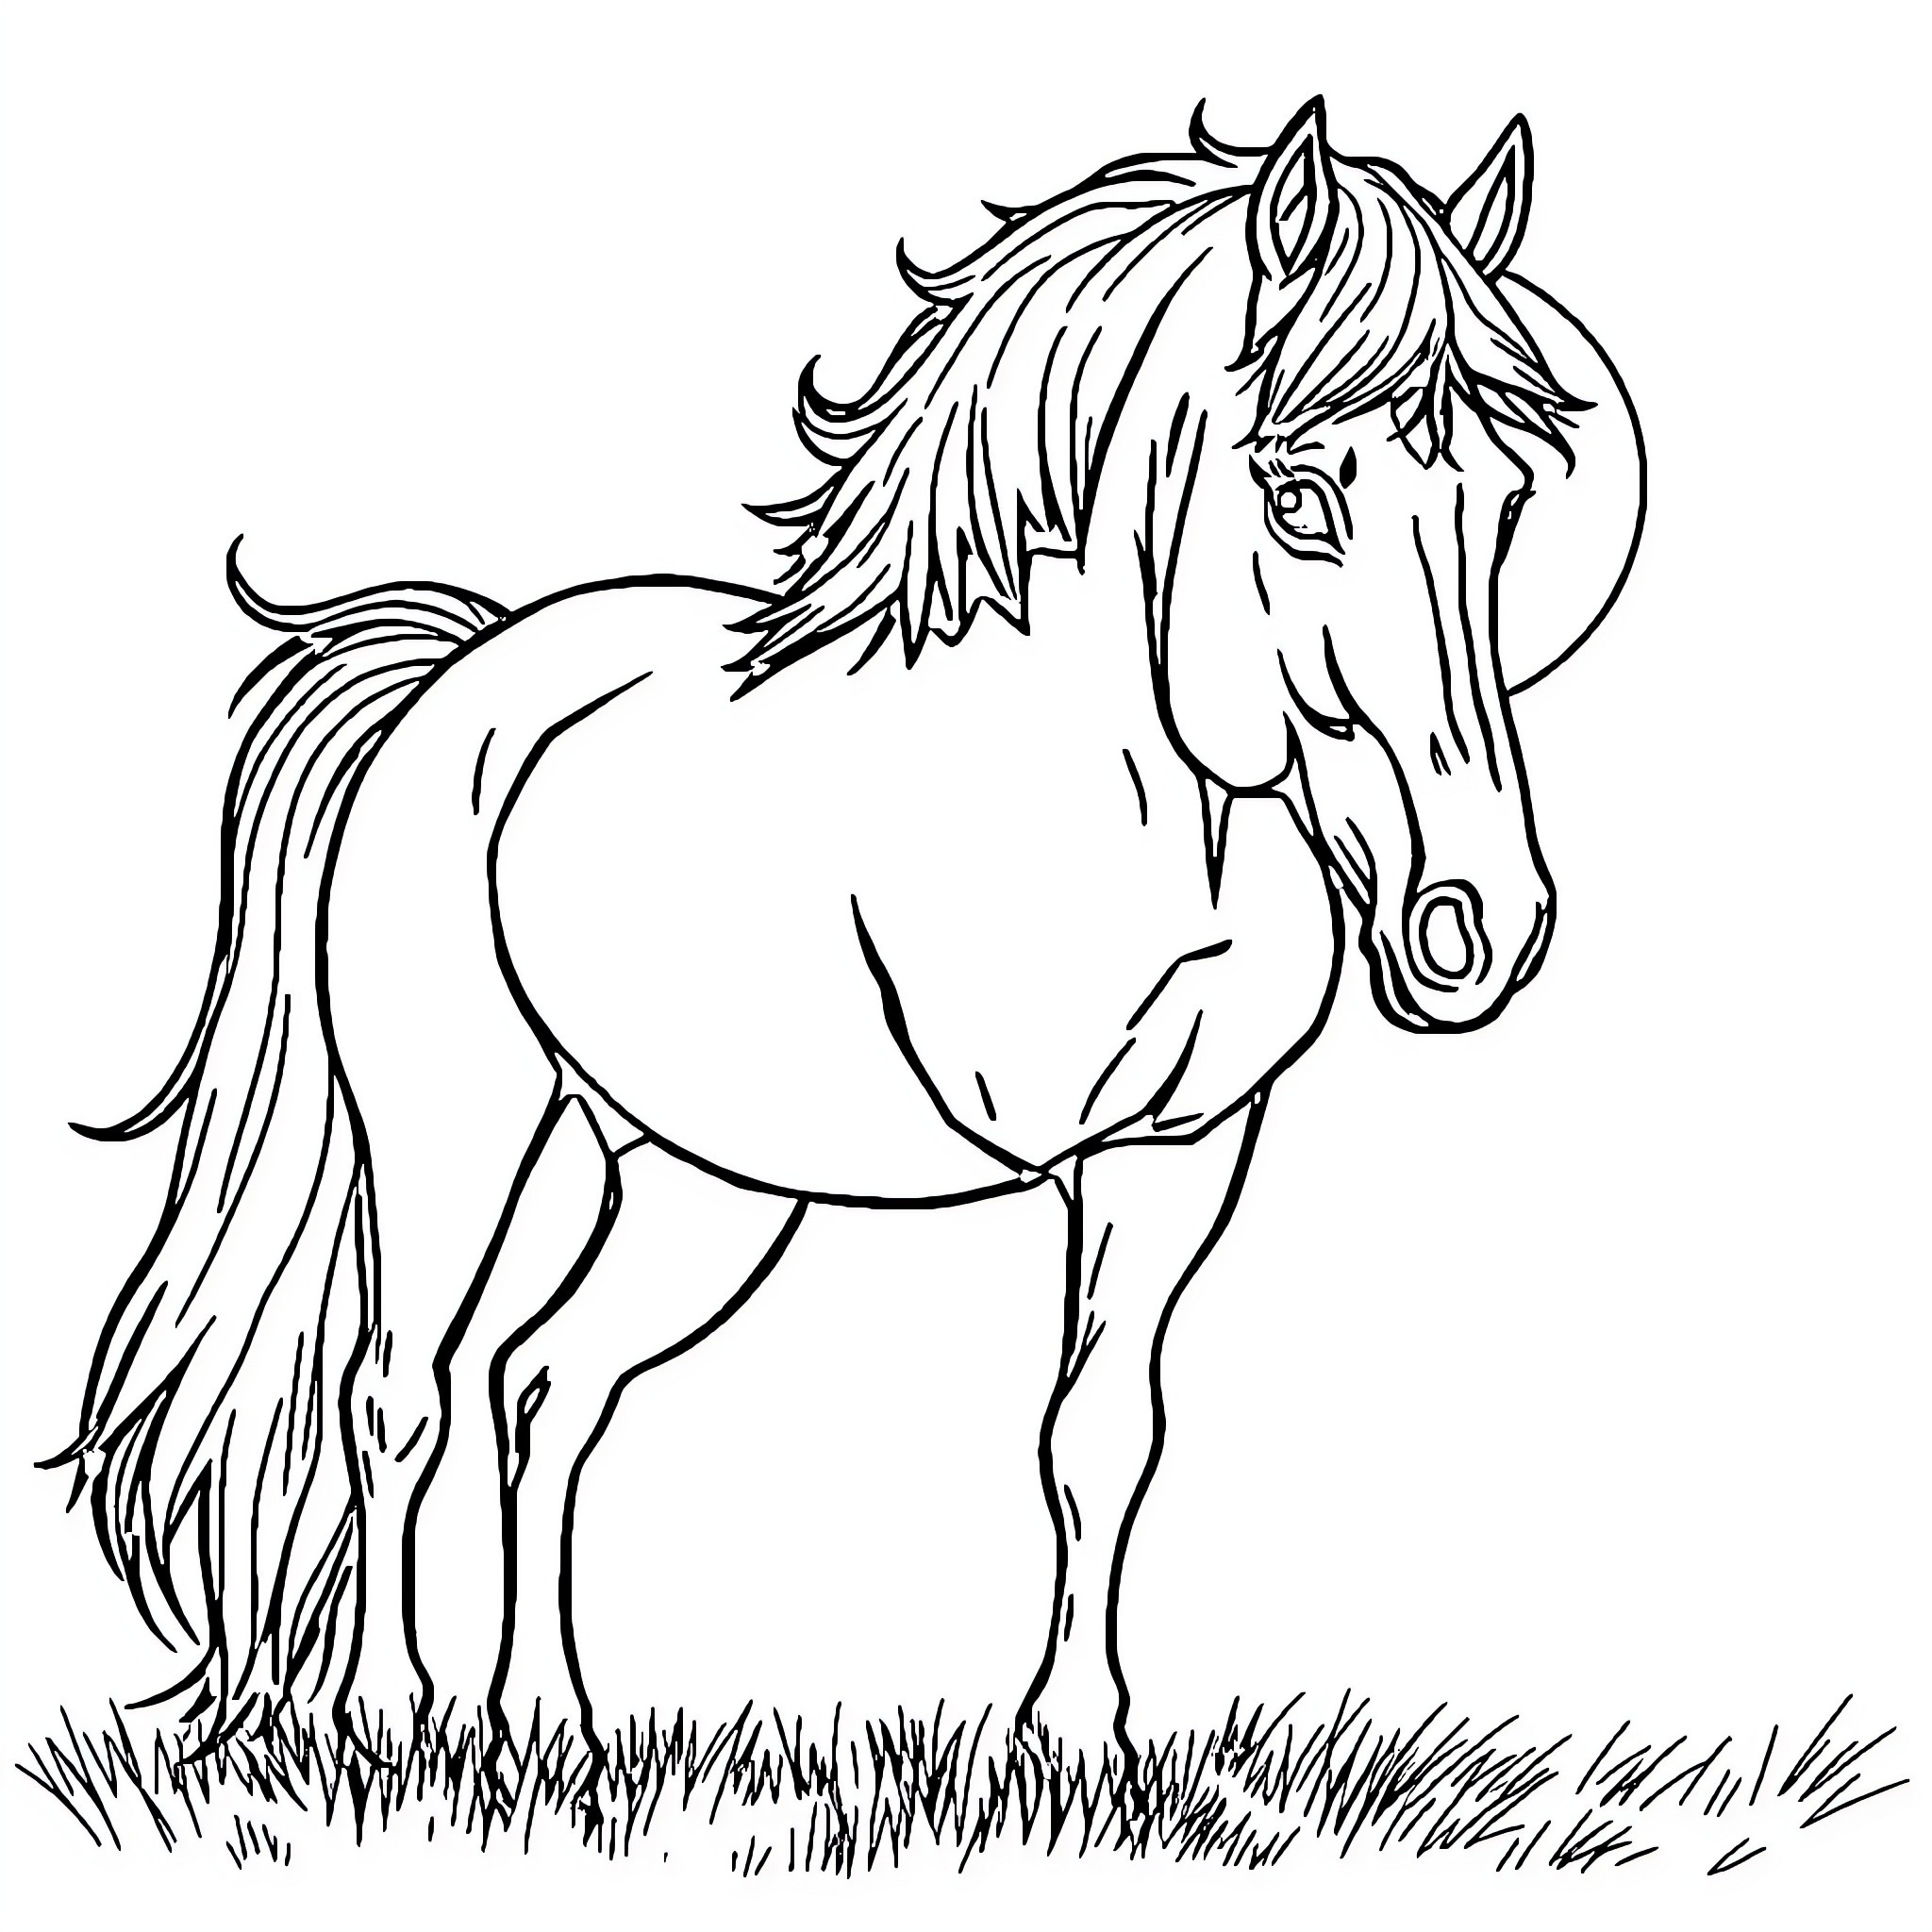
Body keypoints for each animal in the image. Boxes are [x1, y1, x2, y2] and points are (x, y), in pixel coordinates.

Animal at [58, 97, 1642, 1778]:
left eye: (1504, 503)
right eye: (1300, 493)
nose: (1482, 925)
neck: (1146, 800)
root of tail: (464, 677)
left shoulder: (1181, 1151)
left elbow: (1106, 1433)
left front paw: (1081, 1751)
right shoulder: (1067, 1134)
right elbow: (1064, 1421)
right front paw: (1059, 1741)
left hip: (702, 1180)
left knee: (545, 1382)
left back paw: (553, 1726)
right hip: (455, 1122)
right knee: (399, 1389)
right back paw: (384, 1718)